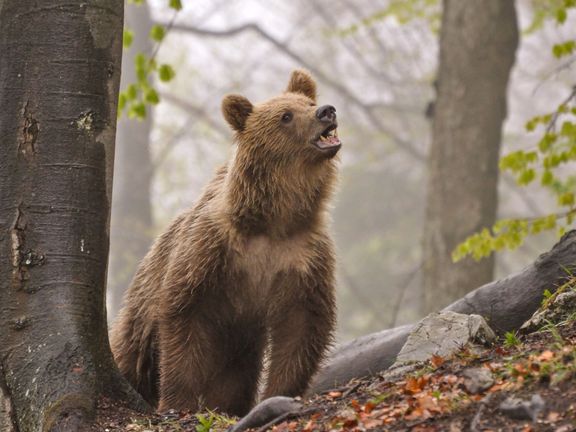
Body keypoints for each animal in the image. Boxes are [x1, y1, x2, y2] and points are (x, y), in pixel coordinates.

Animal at [110, 69, 340, 416]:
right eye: (286, 115)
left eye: (309, 103)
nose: (326, 111)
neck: (274, 221)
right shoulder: (211, 250)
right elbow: (183, 318)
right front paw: (178, 401)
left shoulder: (303, 257)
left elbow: (302, 326)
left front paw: (278, 393)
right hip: (144, 308)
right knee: (132, 352)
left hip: (239, 345)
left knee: (234, 377)